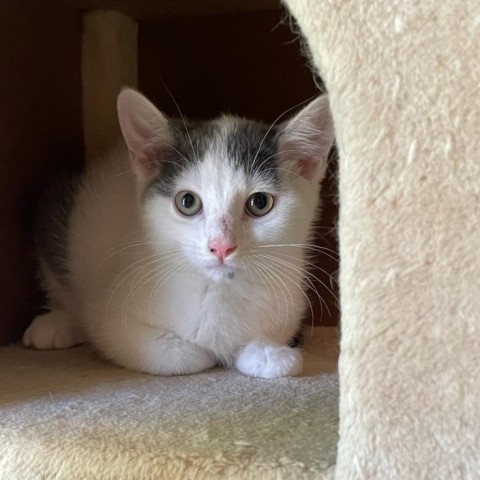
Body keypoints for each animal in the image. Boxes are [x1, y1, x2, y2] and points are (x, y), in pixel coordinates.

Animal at [23, 89, 334, 378]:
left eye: (259, 203)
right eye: (188, 202)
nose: (221, 246)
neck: (217, 290)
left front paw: (269, 354)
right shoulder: (111, 318)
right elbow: (181, 355)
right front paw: (208, 353)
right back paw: (56, 324)